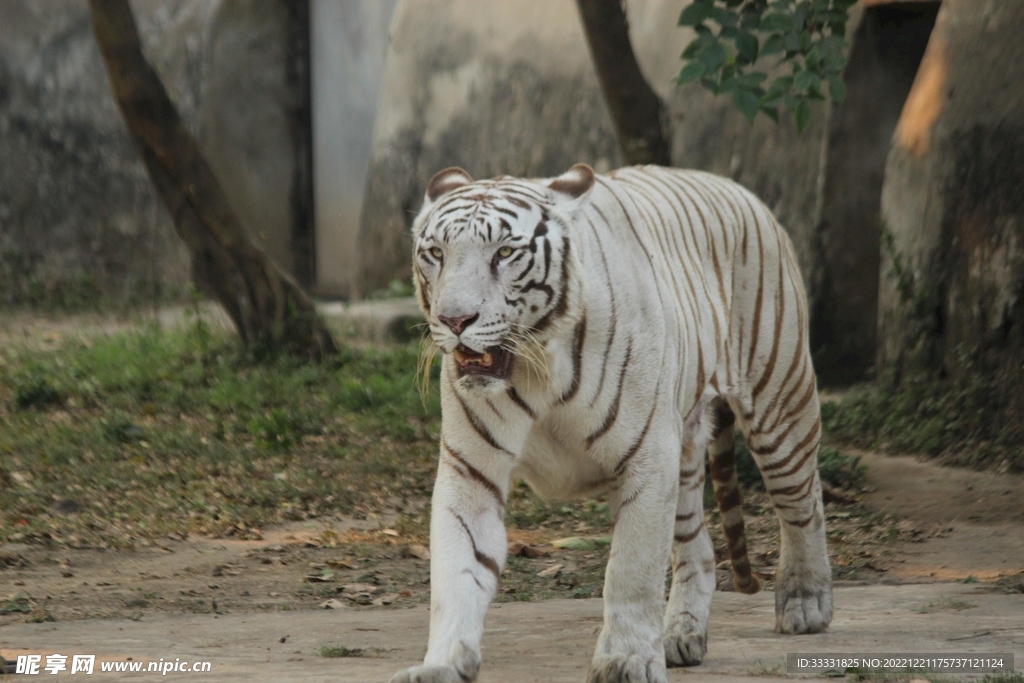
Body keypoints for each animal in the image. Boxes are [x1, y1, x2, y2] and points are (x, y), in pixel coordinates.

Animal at [389, 164, 832, 683]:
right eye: (436, 253)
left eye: (505, 253)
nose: (455, 320)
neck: (537, 365)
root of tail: (739, 189)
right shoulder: (471, 473)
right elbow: (458, 572)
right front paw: (440, 664)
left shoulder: (647, 460)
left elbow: (631, 572)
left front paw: (627, 660)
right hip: (684, 453)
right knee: (699, 549)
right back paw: (680, 635)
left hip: (780, 404)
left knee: (804, 504)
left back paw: (805, 604)